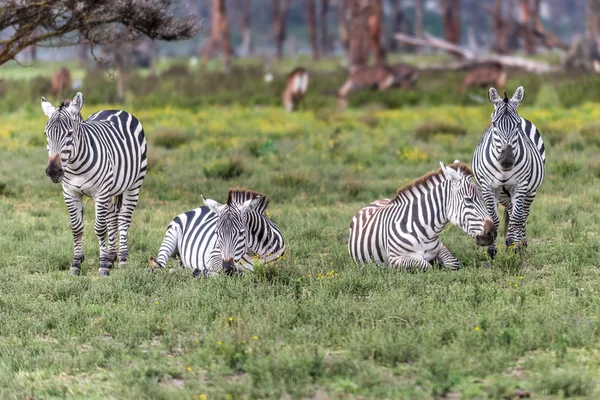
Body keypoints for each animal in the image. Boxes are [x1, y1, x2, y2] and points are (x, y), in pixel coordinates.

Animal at [41, 92, 148, 276]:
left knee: (123, 219)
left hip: (133, 185)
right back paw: (112, 257)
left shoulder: (101, 192)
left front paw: (103, 266)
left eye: (69, 134)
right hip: (111, 189)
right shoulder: (70, 192)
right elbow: (77, 228)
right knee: (113, 217)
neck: (75, 166)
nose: (53, 171)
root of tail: (116, 109)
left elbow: (100, 228)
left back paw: (122, 260)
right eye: (46, 134)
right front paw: (76, 264)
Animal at [147, 189, 284, 276]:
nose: (227, 266)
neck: (256, 252)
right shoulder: (214, 255)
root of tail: (199, 208)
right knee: (160, 266)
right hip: (171, 236)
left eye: (241, 233)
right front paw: (201, 272)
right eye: (217, 233)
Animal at [346, 161, 496, 270]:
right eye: (468, 200)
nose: (492, 233)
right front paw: (434, 265)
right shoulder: (396, 259)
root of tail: (375, 201)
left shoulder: (441, 248)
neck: (425, 233)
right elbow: (426, 265)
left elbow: (453, 263)